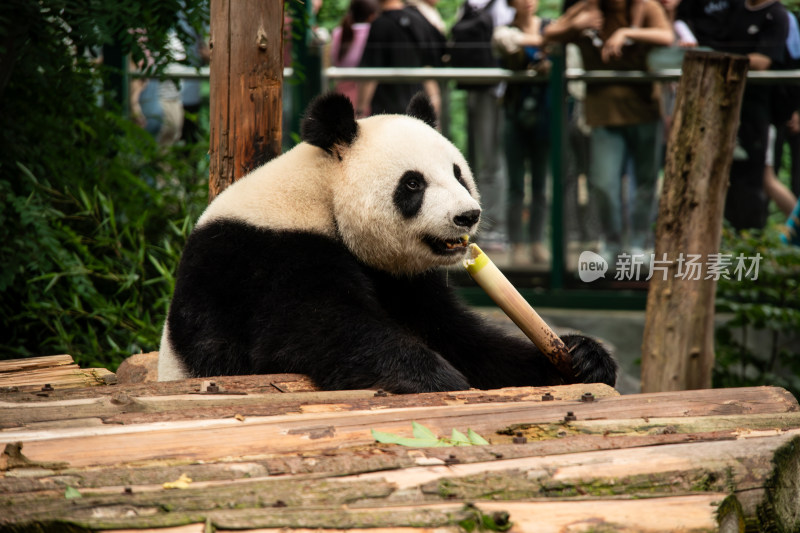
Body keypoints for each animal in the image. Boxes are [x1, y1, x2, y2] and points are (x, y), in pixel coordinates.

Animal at [158, 91, 620, 390]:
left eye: (458, 173)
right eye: (413, 184)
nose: (467, 215)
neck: (321, 194)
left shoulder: (404, 279)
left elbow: (460, 337)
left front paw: (584, 357)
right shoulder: (266, 256)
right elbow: (315, 329)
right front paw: (434, 378)